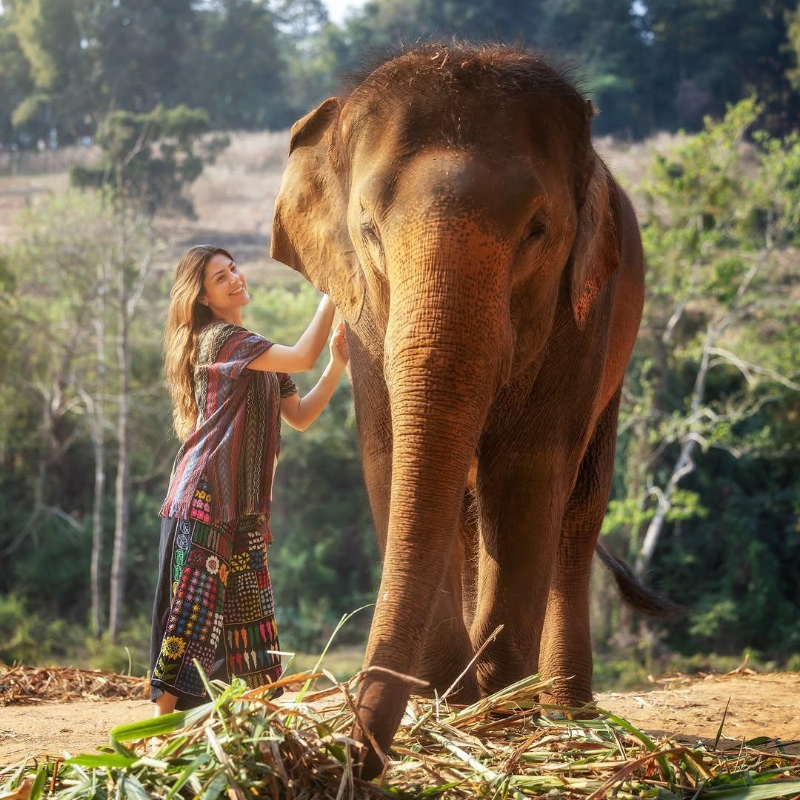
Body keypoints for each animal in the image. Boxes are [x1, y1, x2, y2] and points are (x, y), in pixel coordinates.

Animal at [270, 43, 676, 779]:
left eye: (538, 230)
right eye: (368, 230)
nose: (342, 760)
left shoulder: (583, 314)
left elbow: (525, 472)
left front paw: (495, 699)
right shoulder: (369, 328)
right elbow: (389, 458)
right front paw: (453, 696)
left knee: (578, 507)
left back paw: (566, 714)